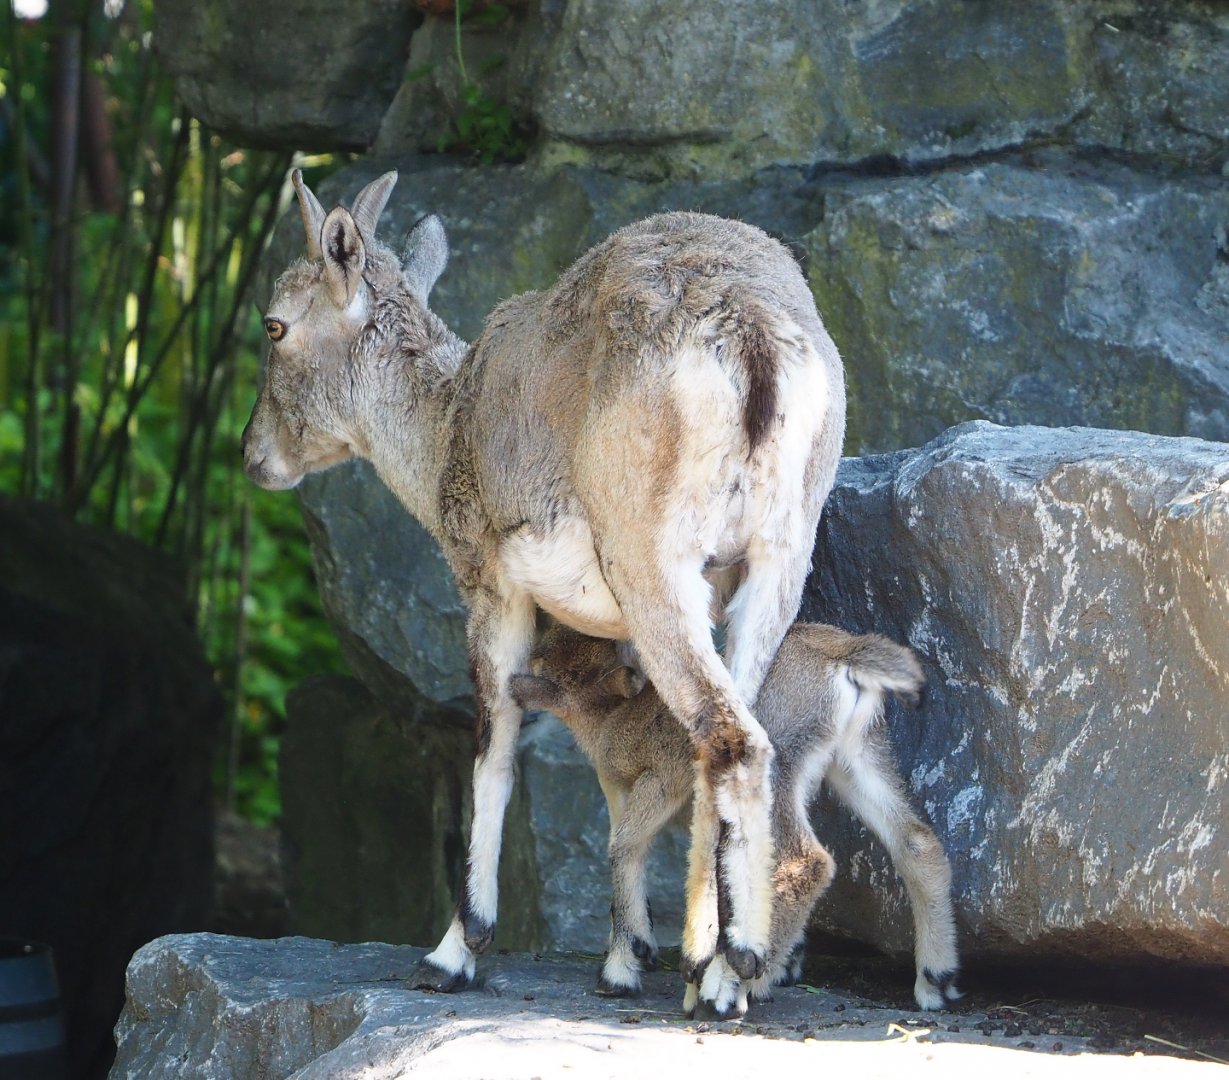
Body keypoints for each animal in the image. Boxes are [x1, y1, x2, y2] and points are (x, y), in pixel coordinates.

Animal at [240, 170, 846, 1014]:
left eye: (274, 325)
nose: (253, 454)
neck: (446, 431)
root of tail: (753, 336)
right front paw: (628, 955)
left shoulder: (490, 586)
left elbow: (492, 748)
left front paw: (454, 952)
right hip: (772, 565)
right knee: (721, 736)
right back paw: (714, 970)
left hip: (655, 561)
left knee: (731, 739)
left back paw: (730, 972)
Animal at [510, 620, 961, 1018]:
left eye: (542, 663)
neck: (613, 719)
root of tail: (842, 653)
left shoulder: (659, 782)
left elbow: (624, 848)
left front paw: (622, 970)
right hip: (858, 754)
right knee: (917, 841)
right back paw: (935, 981)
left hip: (775, 768)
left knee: (804, 863)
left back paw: (724, 992)